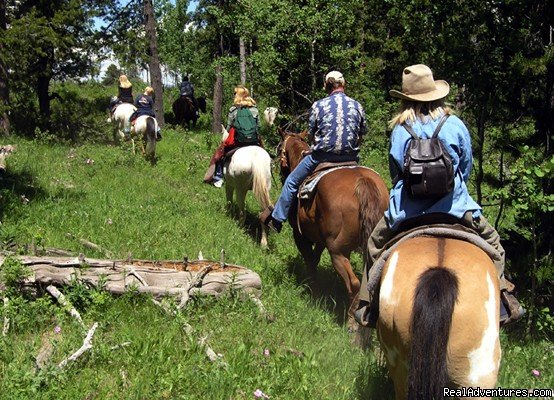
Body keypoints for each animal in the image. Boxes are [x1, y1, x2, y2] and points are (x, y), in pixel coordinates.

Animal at [276, 130, 388, 326]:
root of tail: (363, 182)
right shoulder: (321, 240)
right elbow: (315, 259)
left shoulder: (300, 236)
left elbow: (310, 261)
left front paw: (313, 289)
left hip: (337, 252)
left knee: (354, 284)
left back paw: (351, 322)